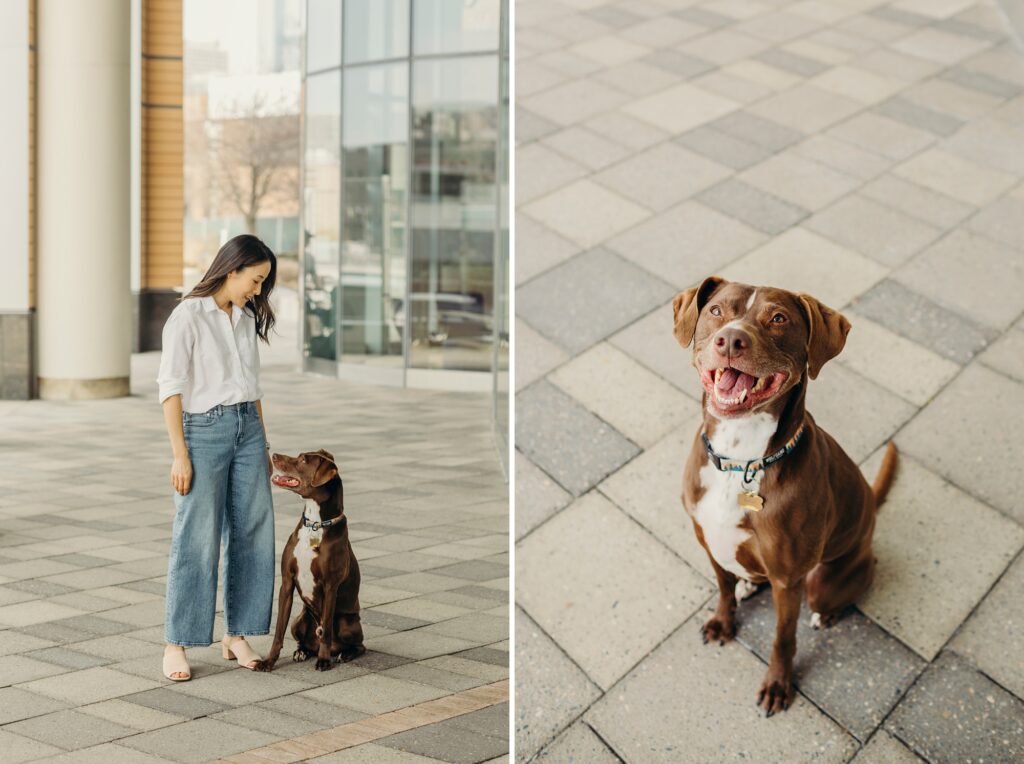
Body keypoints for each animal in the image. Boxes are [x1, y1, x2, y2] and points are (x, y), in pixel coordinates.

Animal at [253, 448, 366, 667]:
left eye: (304, 460)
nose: (274, 455)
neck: (316, 523)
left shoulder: (331, 586)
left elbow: (327, 630)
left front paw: (323, 661)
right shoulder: (287, 582)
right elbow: (278, 631)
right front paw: (269, 662)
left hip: (347, 624)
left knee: (357, 644)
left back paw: (343, 654)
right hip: (299, 619)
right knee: (305, 639)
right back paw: (302, 651)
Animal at [675, 278, 901, 712]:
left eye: (778, 319)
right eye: (716, 311)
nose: (731, 340)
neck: (740, 458)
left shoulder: (787, 579)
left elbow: (783, 637)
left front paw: (778, 685)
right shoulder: (709, 542)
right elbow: (723, 590)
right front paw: (724, 621)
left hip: (821, 582)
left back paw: (825, 615)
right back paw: (748, 584)